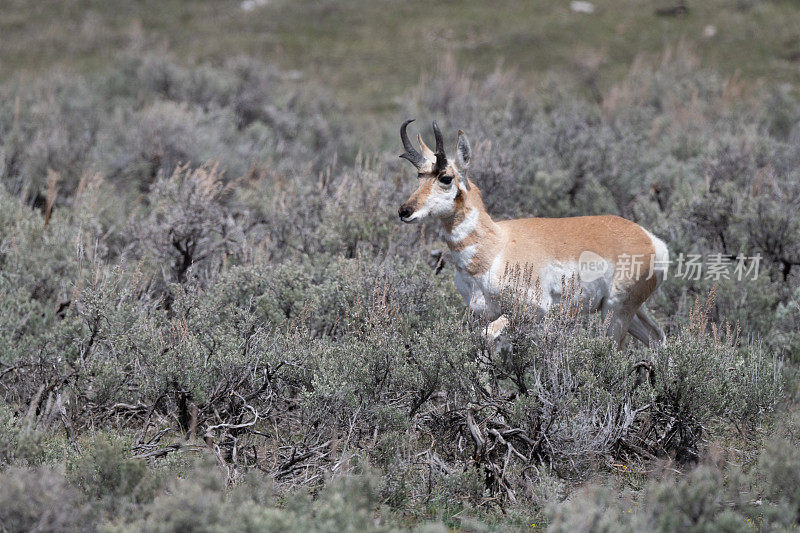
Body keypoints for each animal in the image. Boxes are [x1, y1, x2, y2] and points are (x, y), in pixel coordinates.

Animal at [396, 118, 664, 348]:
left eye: (446, 178)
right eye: (419, 176)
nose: (404, 211)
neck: (496, 245)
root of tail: (650, 239)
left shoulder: (532, 311)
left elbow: (486, 337)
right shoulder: (484, 313)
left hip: (615, 312)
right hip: (630, 311)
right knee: (657, 337)